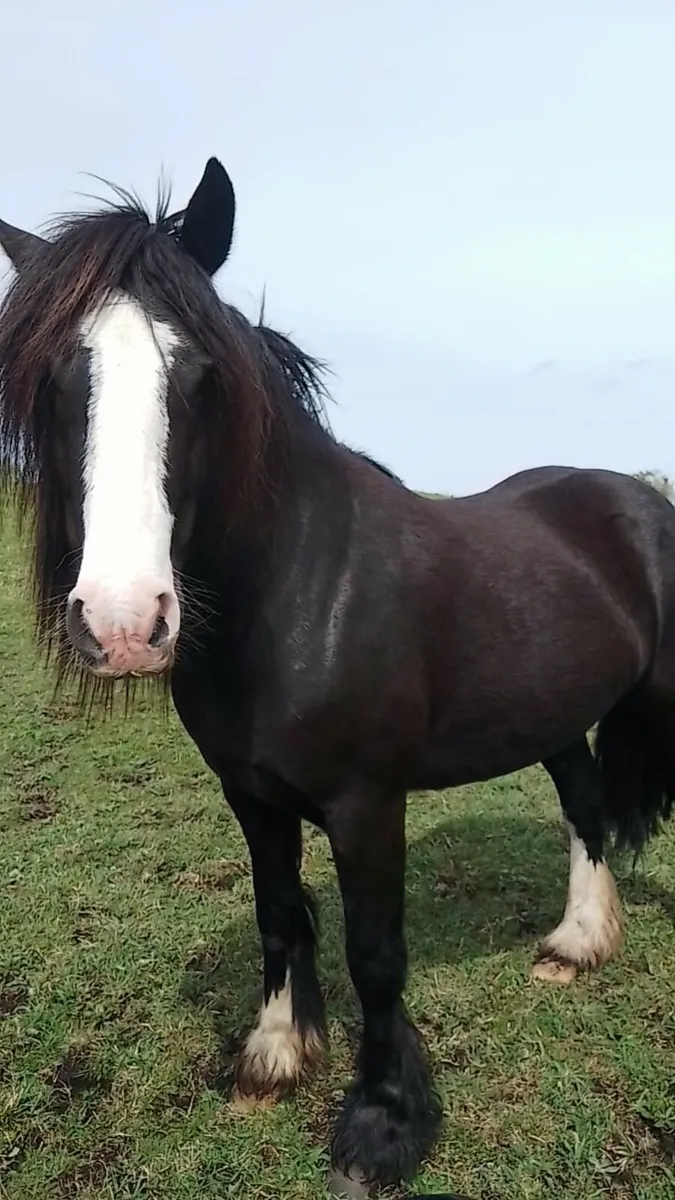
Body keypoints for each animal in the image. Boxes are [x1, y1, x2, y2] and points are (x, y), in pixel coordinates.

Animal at [1, 157, 675, 1193]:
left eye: (198, 375)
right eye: (53, 376)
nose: (122, 623)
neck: (302, 592)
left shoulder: (366, 804)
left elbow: (375, 954)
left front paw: (383, 1124)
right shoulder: (250, 797)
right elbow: (279, 914)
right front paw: (275, 1056)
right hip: (557, 718)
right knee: (586, 810)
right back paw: (575, 945)